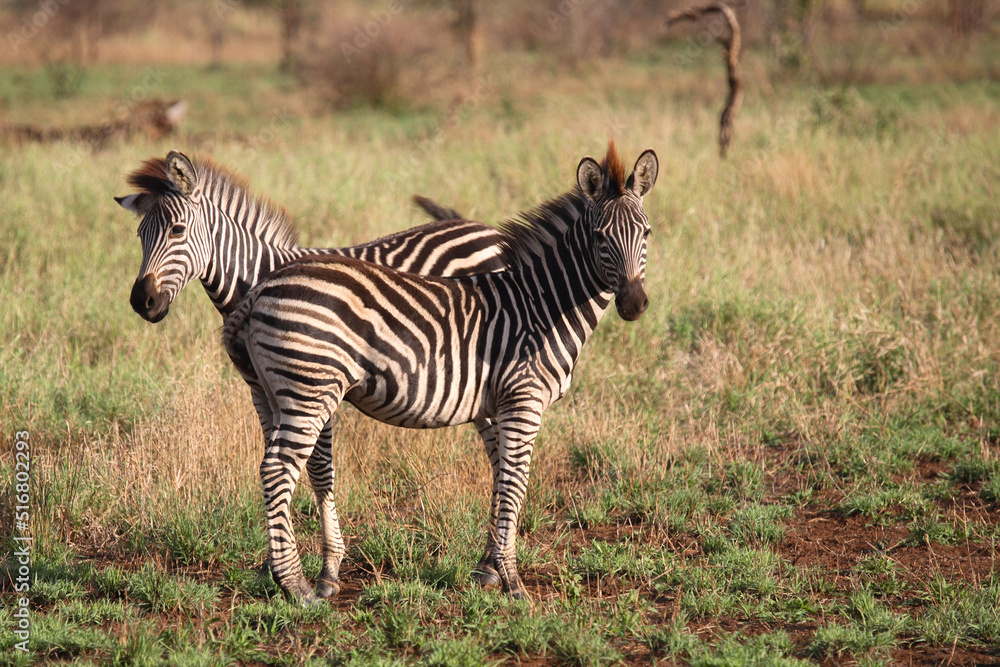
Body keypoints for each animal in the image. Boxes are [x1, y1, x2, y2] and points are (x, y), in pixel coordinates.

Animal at [116, 150, 505, 592]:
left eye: (178, 230)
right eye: (140, 236)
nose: (142, 302)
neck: (257, 278)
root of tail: (484, 228)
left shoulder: (316, 384)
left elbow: (319, 471)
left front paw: (327, 570)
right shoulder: (261, 389)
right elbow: (278, 462)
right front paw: (273, 564)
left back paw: (491, 564)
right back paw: (490, 561)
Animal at [222, 142, 658, 602]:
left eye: (646, 234)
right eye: (599, 237)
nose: (634, 304)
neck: (541, 306)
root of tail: (265, 284)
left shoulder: (496, 405)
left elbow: (502, 479)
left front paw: (490, 569)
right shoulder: (524, 401)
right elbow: (514, 483)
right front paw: (513, 582)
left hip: (273, 392)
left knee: (276, 467)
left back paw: (282, 575)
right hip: (310, 389)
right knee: (277, 470)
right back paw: (296, 585)